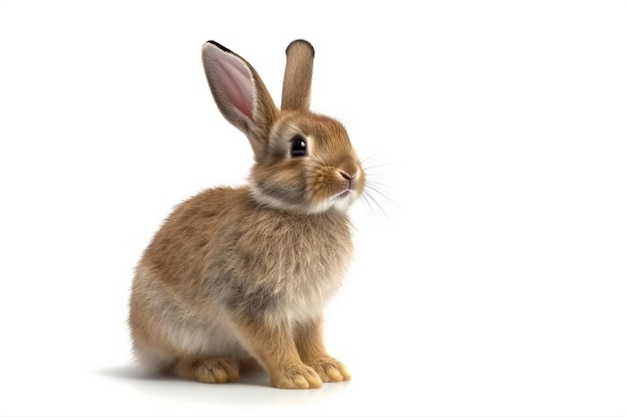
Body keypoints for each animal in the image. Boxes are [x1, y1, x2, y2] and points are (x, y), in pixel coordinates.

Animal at [130, 38, 366, 386]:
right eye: (298, 146)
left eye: (344, 134)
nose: (350, 174)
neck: (296, 212)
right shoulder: (250, 301)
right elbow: (274, 342)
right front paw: (298, 377)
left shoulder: (309, 310)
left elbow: (311, 339)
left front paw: (328, 369)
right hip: (173, 326)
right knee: (178, 362)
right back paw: (214, 368)